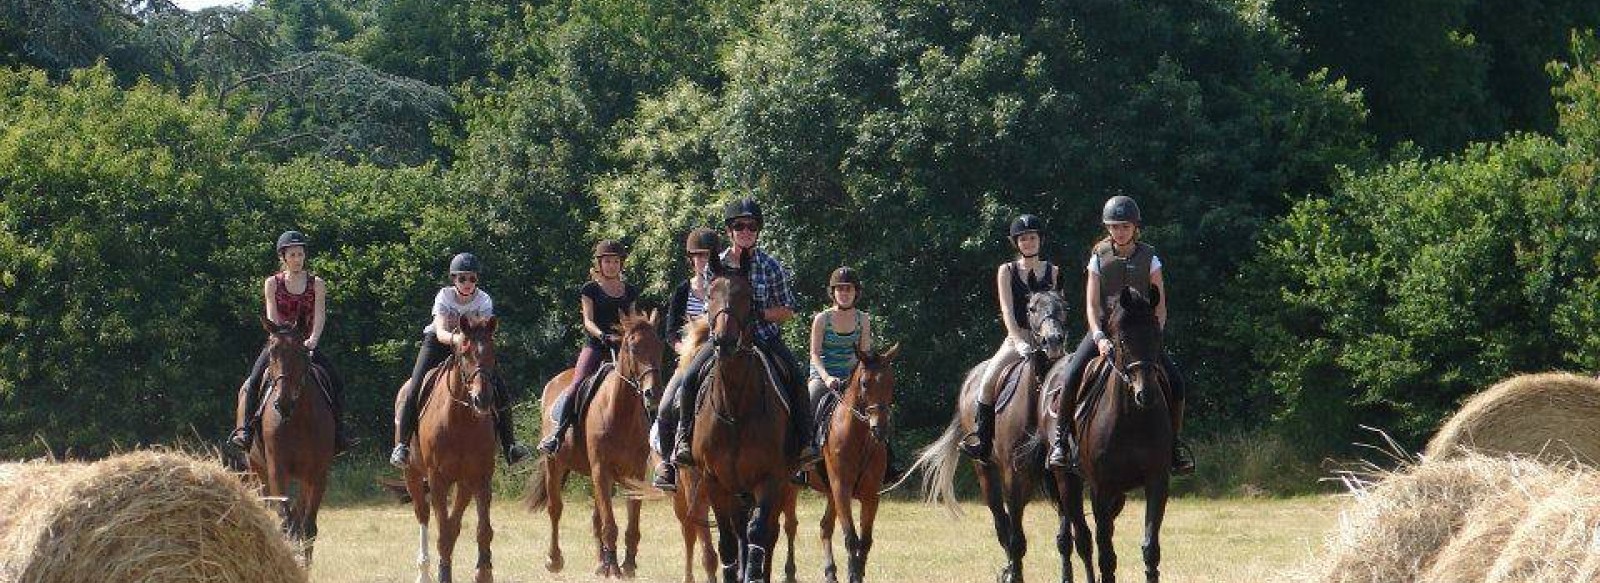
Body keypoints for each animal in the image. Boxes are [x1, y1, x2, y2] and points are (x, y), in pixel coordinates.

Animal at [244, 318, 336, 563]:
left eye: (302, 351)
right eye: (272, 351)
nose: (282, 403)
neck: (297, 418)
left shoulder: (317, 474)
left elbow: (308, 526)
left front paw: (304, 564)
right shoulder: (277, 470)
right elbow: (285, 522)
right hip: (257, 470)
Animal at [393, 318, 499, 583]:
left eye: (493, 353)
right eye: (465, 352)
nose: (482, 399)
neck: (460, 419)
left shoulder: (480, 477)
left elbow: (482, 530)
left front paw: (483, 572)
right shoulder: (437, 478)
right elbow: (442, 532)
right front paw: (444, 573)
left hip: (463, 483)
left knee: (454, 524)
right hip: (412, 475)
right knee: (423, 515)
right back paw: (424, 571)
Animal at [528, 309, 665, 579]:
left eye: (660, 346)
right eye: (633, 347)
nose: (652, 392)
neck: (620, 411)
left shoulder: (634, 473)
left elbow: (630, 524)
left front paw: (627, 565)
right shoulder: (601, 469)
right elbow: (609, 524)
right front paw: (615, 568)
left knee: (595, 517)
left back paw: (601, 563)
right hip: (555, 463)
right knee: (555, 509)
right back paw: (555, 560)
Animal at [921, 289, 1068, 583]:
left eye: (1064, 307)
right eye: (1032, 309)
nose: (1054, 341)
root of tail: (971, 378)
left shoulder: (1055, 474)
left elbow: (1064, 535)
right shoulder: (1013, 476)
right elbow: (1016, 537)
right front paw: (1014, 573)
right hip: (985, 470)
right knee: (1002, 524)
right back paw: (1009, 568)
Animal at [1049, 286, 1177, 583]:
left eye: (1157, 336)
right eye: (1122, 339)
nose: (1146, 394)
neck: (1131, 419)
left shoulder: (1156, 481)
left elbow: (1150, 548)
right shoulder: (1101, 487)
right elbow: (1105, 553)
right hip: (1067, 482)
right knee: (1082, 538)